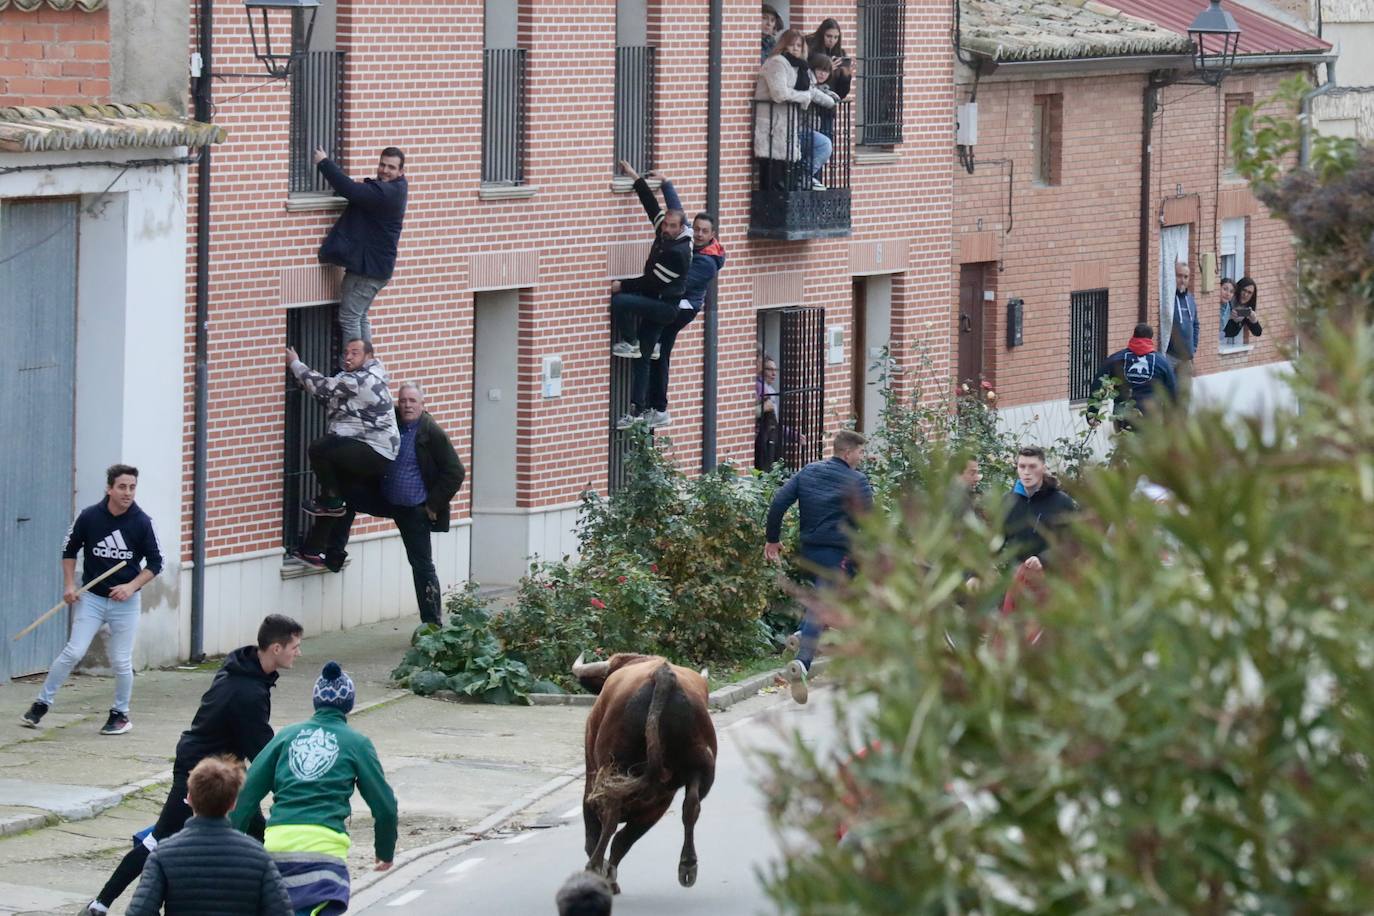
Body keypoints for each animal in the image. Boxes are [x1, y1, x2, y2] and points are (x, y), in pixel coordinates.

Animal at [571, 650, 719, 895]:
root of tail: (662, 675)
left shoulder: (591, 776)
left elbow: (595, 833)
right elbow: (625, 838)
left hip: (612, 769)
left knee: (610, 817)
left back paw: (595, 869)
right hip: (698, 771)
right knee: (691, 806)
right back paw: (688, 867)